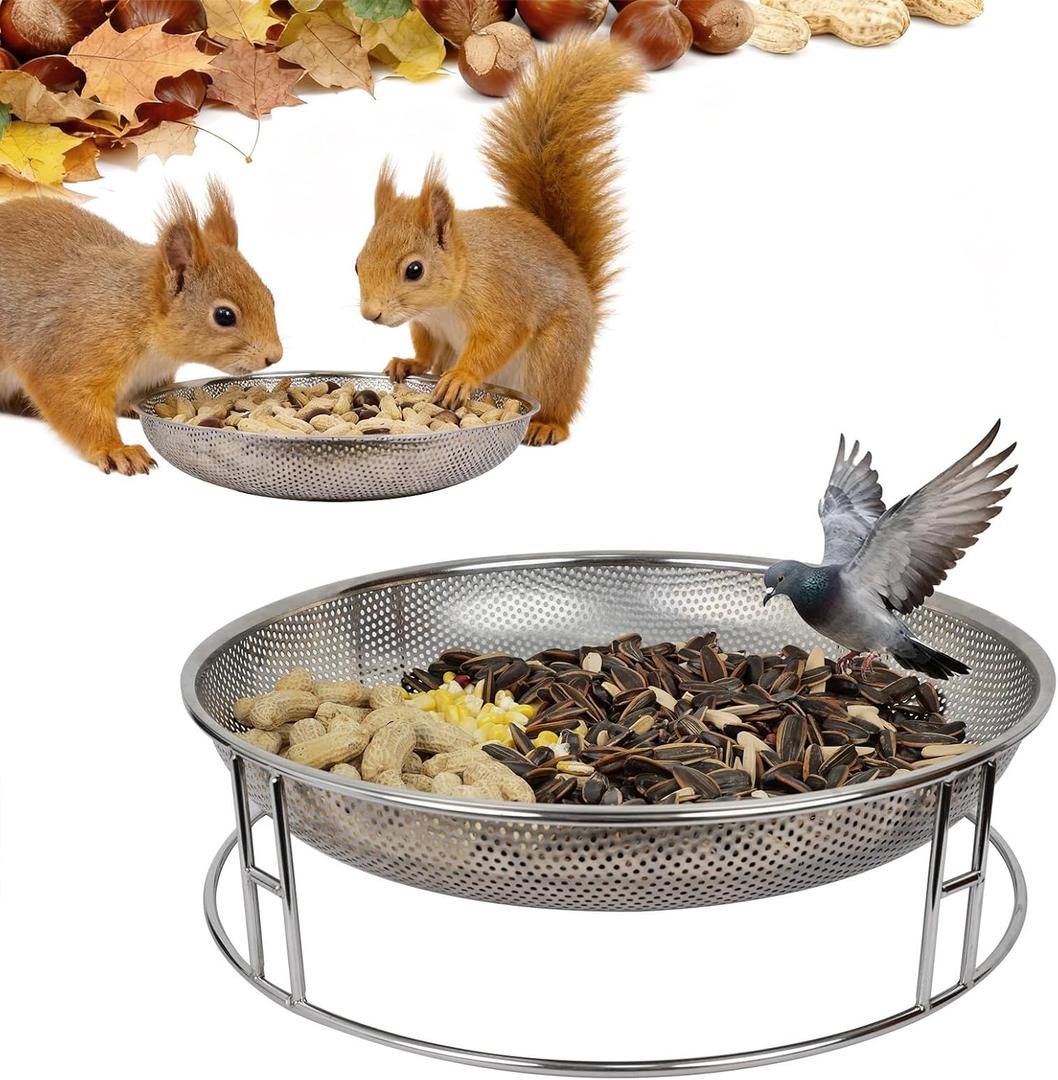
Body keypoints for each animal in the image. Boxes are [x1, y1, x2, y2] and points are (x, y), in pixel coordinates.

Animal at [0, 180, 282, 475]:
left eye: (269, 297)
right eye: (224, 316)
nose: (274, 356)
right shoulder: (76, 352)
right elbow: (72, 402)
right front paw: (116, 449)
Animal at [355, 36, 644, 447]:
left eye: (414, 270)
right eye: (356, 264)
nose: (371, 314)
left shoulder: (500, 298)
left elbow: (501, 338)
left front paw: (461, 377)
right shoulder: (429, 326)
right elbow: (427, 351)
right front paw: (408, 363)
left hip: (554, 357)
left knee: (559, 404)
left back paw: (546, 424)